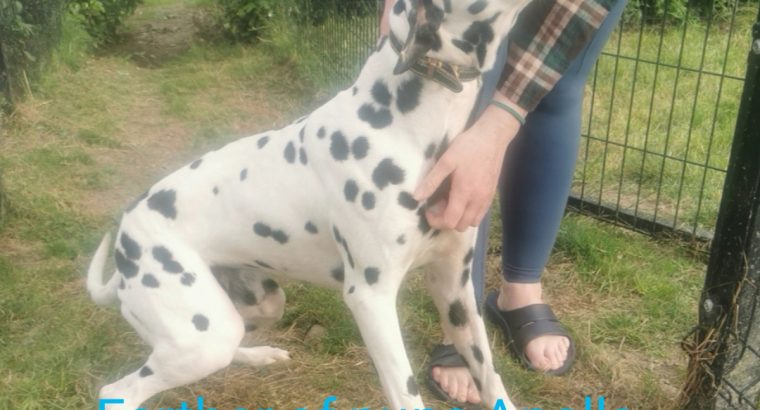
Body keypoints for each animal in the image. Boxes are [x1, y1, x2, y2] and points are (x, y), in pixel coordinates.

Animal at [86, 1, 528, 408]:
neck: (403, 125)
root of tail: (125, 240)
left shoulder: (454, 287)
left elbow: (491, 378)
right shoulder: (371, 299)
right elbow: (407, 393)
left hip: (258, 306)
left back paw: (258, 355)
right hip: (201, 338)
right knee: (120, 391)